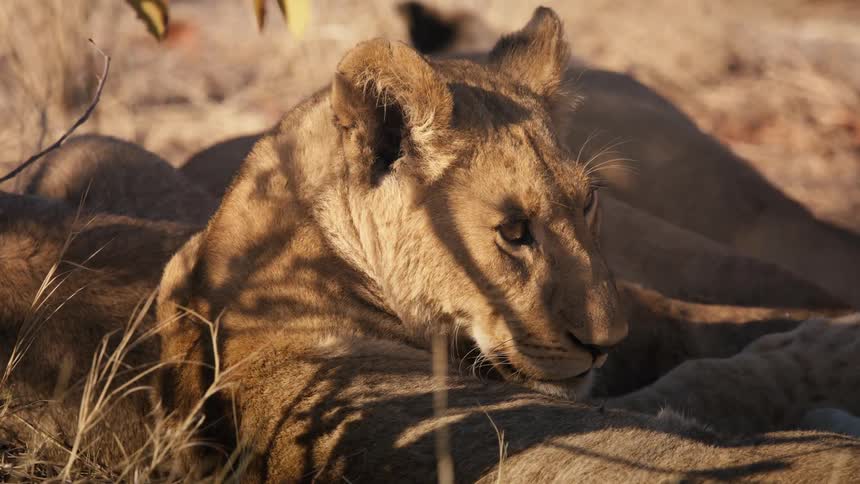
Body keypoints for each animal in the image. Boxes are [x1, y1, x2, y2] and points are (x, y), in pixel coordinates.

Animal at [1, 7, 859, 482]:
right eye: (513, 232)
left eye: (588, 206)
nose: (603, 343)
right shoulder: (549, 407)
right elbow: (710, 378)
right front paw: (831, 350)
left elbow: (716, 321)